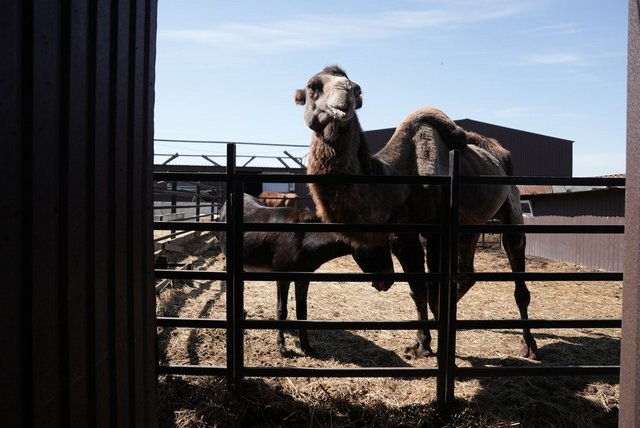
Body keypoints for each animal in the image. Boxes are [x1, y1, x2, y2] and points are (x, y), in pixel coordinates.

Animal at [295, 65, 538, 359]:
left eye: (356, 88)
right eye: (312, 86)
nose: (346, 95)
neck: (400, 179)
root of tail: (500, 153)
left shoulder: (435, 232)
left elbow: (433, 289)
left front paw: (436, 344)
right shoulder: (403, 235)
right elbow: (419, 290)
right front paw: (422, 344)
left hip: (511, 206)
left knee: (515, 268)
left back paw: (529, 345)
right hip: (471, 226)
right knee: (466, 274)